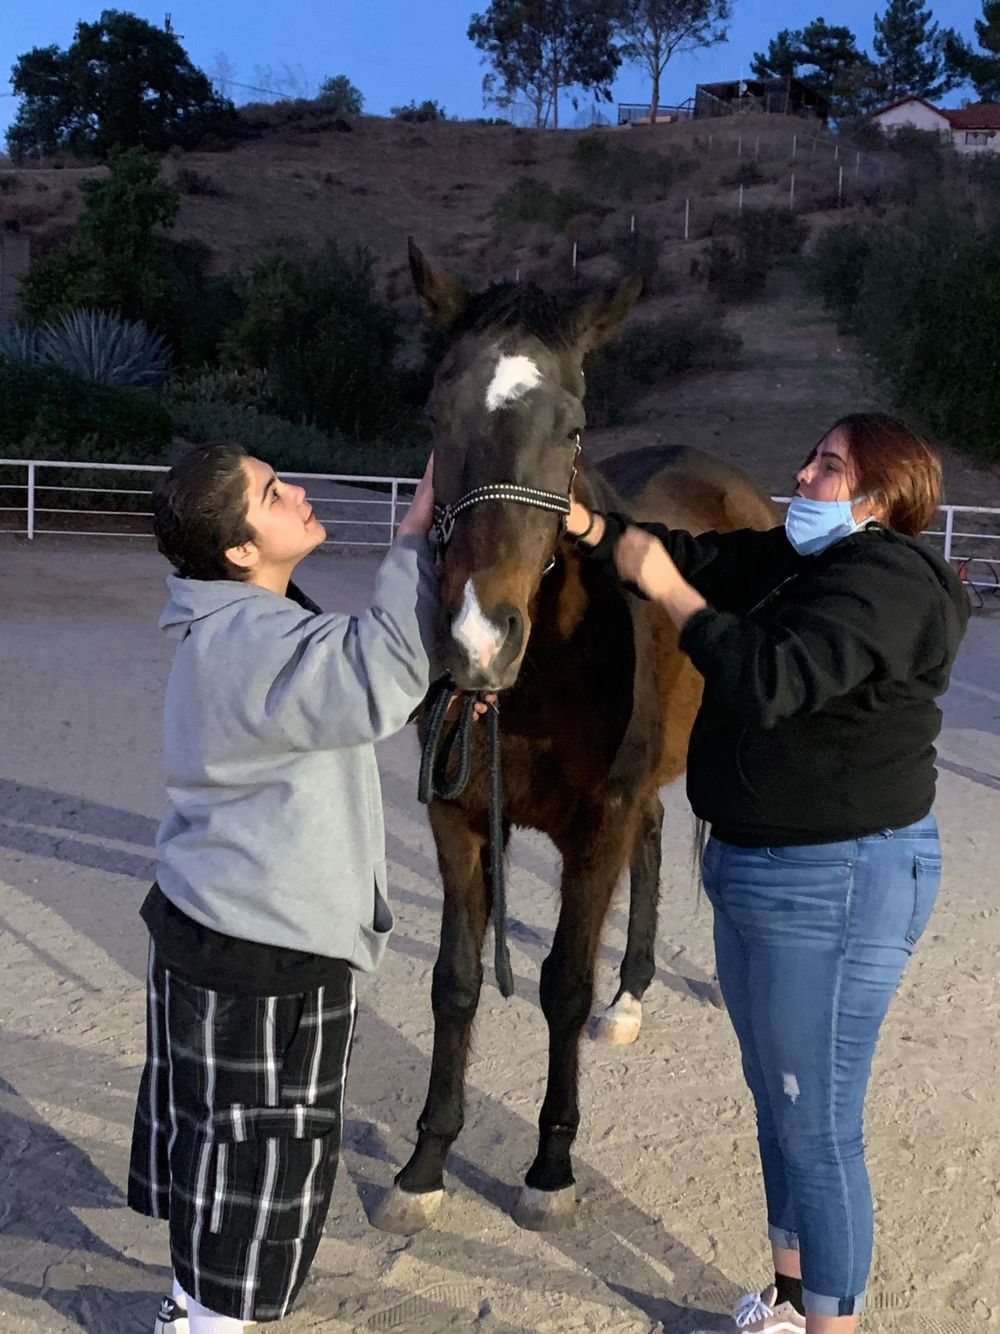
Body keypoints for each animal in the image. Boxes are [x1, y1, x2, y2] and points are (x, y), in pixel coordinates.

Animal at [372, 242, 779, 1236]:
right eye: (435, 414)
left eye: (574, 425)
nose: (478, 639)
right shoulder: (458, 820)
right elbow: (455, 982)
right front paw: (425, 1164)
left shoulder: (596, 822)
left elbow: (560, 983)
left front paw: (549, 1167)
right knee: (658, 843)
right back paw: (631, 996)